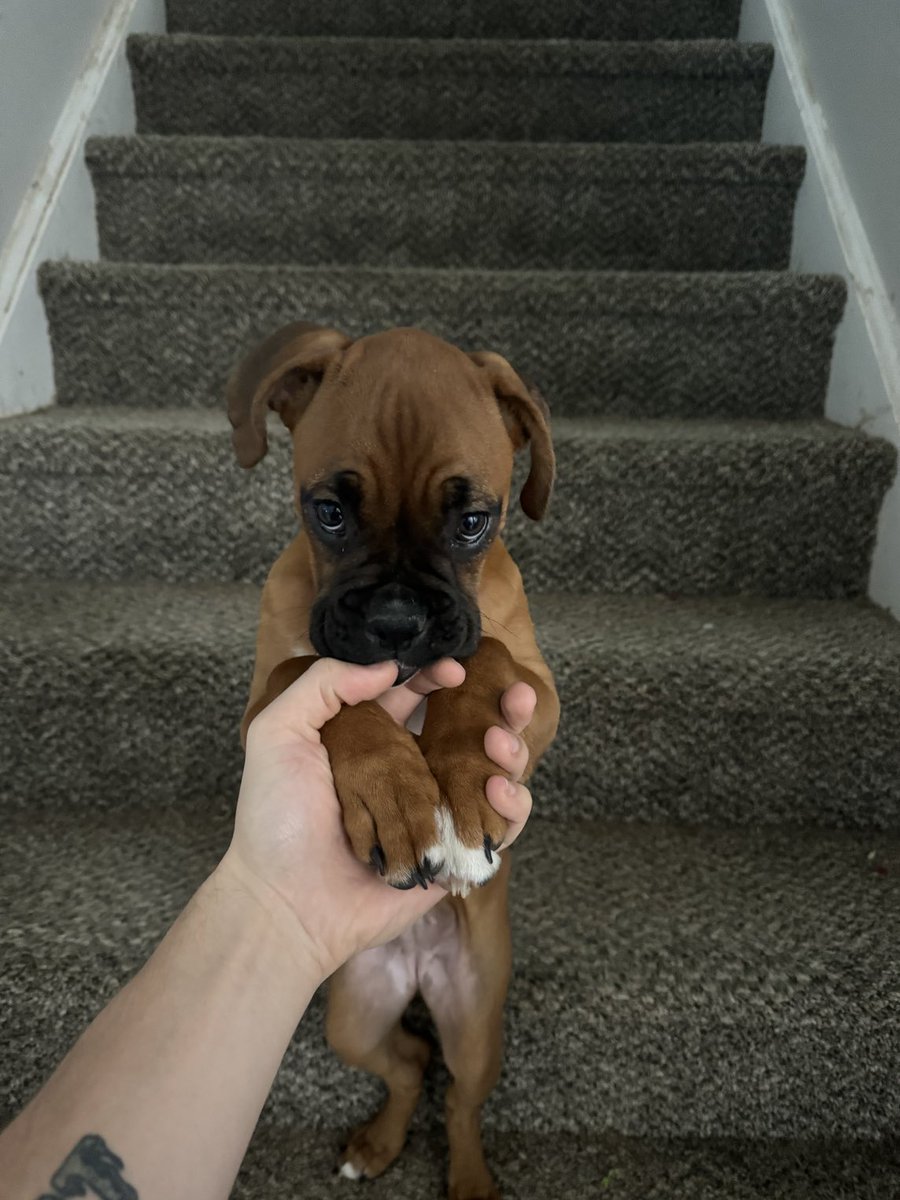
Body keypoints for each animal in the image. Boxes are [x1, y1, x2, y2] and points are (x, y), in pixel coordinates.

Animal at [229, 324, 561, 1195]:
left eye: (474, 521)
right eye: (329, 513)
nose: (397, 621)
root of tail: (416, 971)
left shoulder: (539, 692)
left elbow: (484, 661)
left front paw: (465, 788)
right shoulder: (261, 712)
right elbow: (313, 679)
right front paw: (397, 796)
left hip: (476, 1024)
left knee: (460, 1100)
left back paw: (470, 1179)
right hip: (351, 1015)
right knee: (409, 1065)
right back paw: (375, 1146)